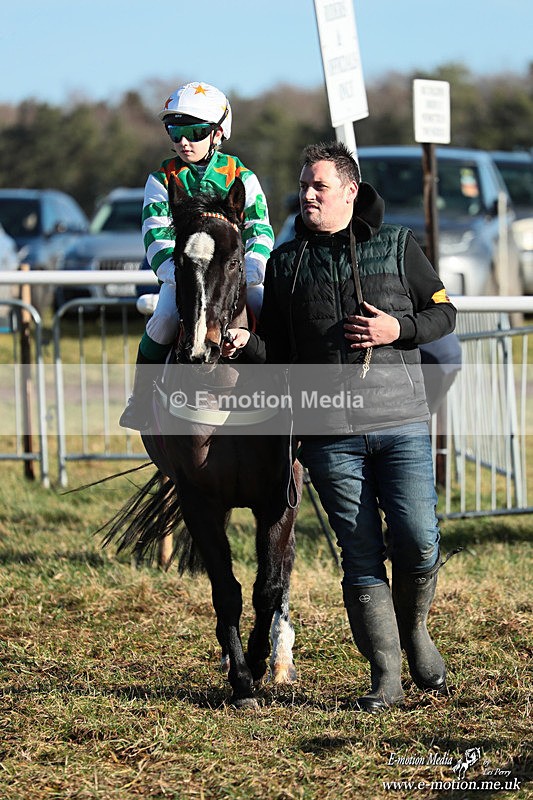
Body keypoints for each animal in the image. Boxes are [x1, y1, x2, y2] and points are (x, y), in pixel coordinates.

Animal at [104, 176, 302, 709]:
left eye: (234, 261)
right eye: (176, 261)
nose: (200, 348)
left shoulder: (279, 496)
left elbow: (267, 584)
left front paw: (259, 662)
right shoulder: (200, 498)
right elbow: (226, 589)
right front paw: (241, 680)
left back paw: (280, 655)